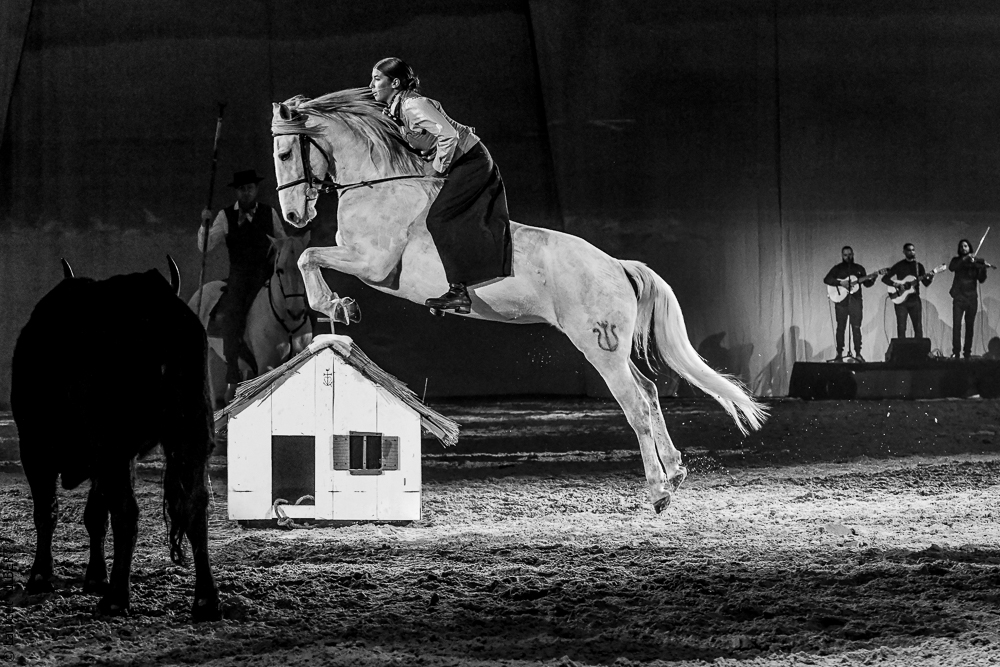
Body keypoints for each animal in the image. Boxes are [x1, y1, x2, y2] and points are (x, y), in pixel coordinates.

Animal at [11, 257, 221, 620]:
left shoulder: (38, 447)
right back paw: (206, 600)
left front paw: (40, 577)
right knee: (195, 507)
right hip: (191, 435)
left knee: (127, 514)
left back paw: (117, 598)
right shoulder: (111, 459)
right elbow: (96, 515)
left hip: (113, 446)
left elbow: (47, 512)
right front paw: (96, 576)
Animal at [270, 88, 768, 512]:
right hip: (612, 349)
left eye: (284, 153)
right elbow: (311, 257)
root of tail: (616, 265)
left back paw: (659, 491)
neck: (379, 186)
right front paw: (339, 305)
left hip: (599, 347)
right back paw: (676, 472)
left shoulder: (371, 265)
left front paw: (335, 305)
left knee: (637, 404)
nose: (294, 216)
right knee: (648, 392)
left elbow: (308, 256)